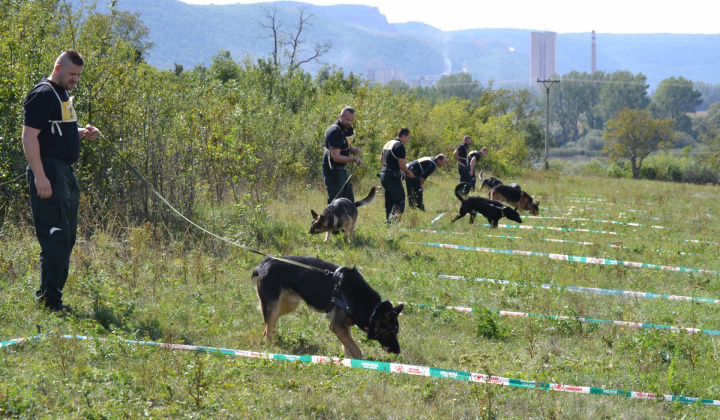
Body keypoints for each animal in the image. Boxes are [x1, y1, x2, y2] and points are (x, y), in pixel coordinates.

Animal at [250, 254, 402, 360]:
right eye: (390, 332)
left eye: (397, 332)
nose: (398, 351)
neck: (372, 310)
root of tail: (264, 263)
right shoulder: (337, 325)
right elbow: (356, 349)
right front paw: (359, 362)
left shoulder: (344, 325)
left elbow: (347, 344)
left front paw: (347, 359)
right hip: (274, 306)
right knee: (268, 328)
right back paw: (271, 347)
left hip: (288, 305)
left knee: (269, 325)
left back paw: (277, 339)